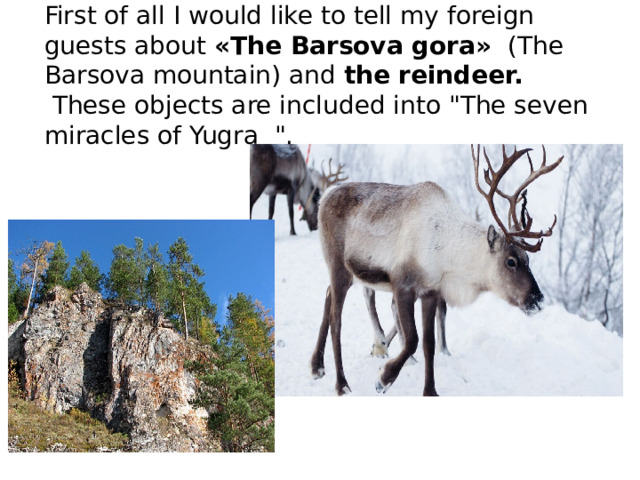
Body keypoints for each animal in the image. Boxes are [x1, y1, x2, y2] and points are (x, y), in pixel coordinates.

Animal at [310, 145, 563, 396]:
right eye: (511, 261)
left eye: (527, 258)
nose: (538, 299)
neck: (448, 255)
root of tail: (326, 194)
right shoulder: (402, 284)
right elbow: (412, 339)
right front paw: (384, 378)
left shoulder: (430, 292)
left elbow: (429, 344)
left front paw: (430, 391)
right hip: (338, 265)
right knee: (336, 320)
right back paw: (341, 384)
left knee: (327, 295)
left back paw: (317, 366)